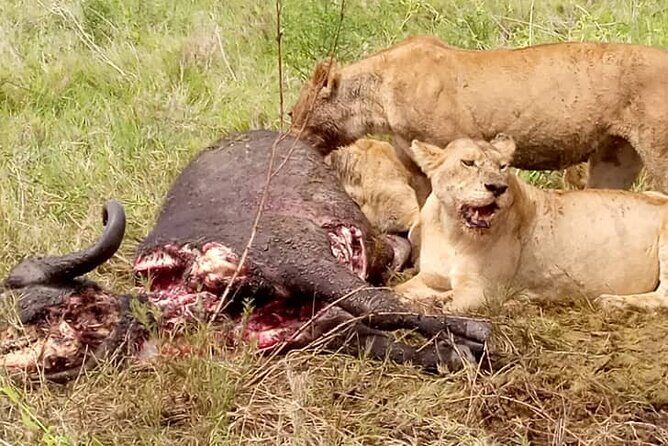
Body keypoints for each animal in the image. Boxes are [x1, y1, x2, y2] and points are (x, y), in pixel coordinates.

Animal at [289, 35, 668, 201]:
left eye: (293, 113)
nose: (289, 138)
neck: (378, 99)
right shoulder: (414, 164)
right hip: (616, 155)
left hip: (658, 151)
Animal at [394, 135, 668, 312]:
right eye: (468, 163)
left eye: (503, 167)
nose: (497, 187)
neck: (451, 230)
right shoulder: (429, 278)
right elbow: (396, 291)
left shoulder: (480, 290)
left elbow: (449, 304)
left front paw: (438, 301)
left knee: (663, 298)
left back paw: (614, 302)